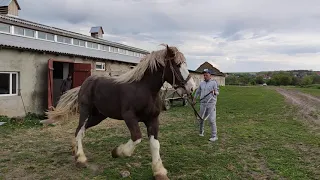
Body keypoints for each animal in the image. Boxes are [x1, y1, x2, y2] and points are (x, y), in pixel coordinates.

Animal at [44, 44, 195, 179]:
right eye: (177, 65)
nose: (191, 87)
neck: (144, 89)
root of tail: (84, 84)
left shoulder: (152, 119)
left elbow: (155, 144)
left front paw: (159, 172)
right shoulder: (129, 117)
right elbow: (136, 138)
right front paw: (116, 152)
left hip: (99, 116)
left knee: (80, 130)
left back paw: (74, 150)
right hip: (85, 111)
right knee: (80, 130)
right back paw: (81, 158)